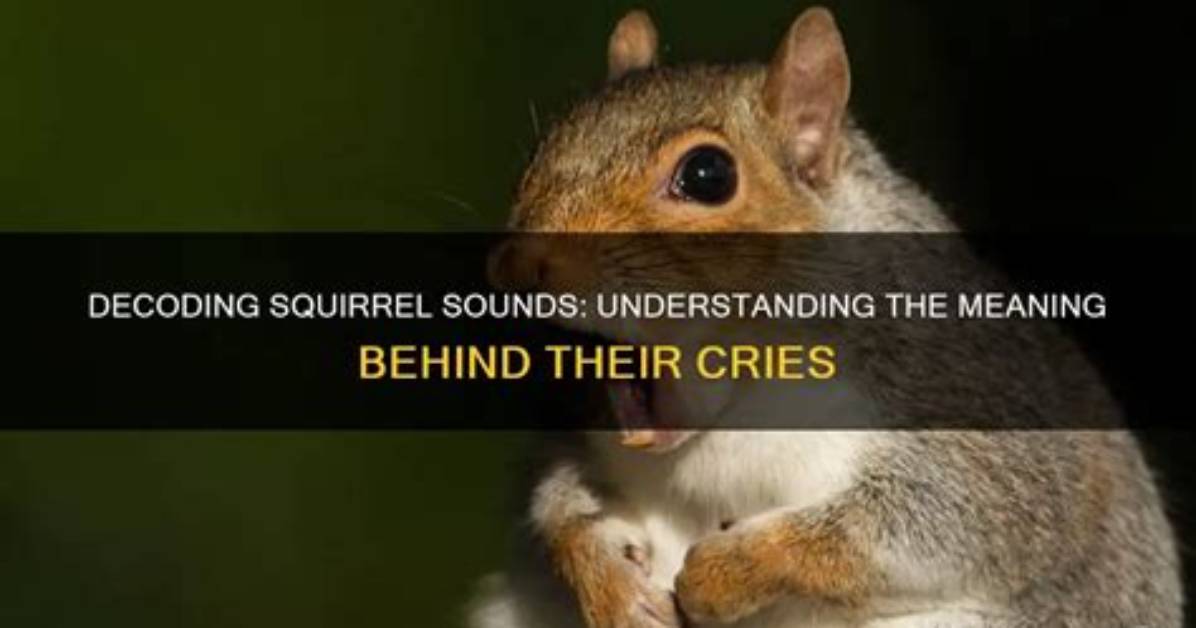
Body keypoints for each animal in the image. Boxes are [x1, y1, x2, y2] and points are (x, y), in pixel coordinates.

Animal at [468, 7, 1182, 628]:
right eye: (540, 150)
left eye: (707, 175)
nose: (518, 264)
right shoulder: (581, 427)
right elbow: (559, 502)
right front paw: (605, 579)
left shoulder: (972, 405)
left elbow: (934, 522)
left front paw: (727, 571)